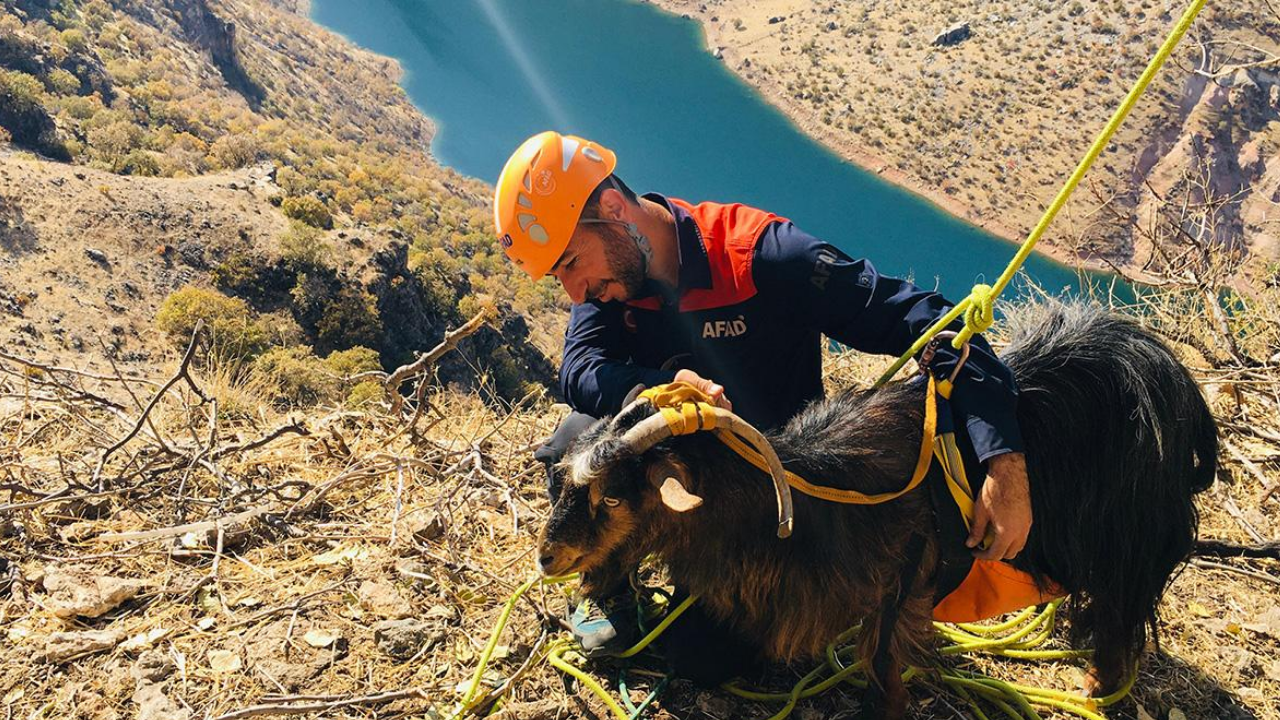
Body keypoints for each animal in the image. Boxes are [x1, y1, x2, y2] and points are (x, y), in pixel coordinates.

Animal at [535, 299, 1213, 712]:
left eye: (613, 495)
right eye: (568, 479)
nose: (547, 559)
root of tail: (1167, 369)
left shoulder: (902, 585)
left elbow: (884, 670)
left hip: (1130, 540)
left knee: (1120, 612)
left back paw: (1098, 683)